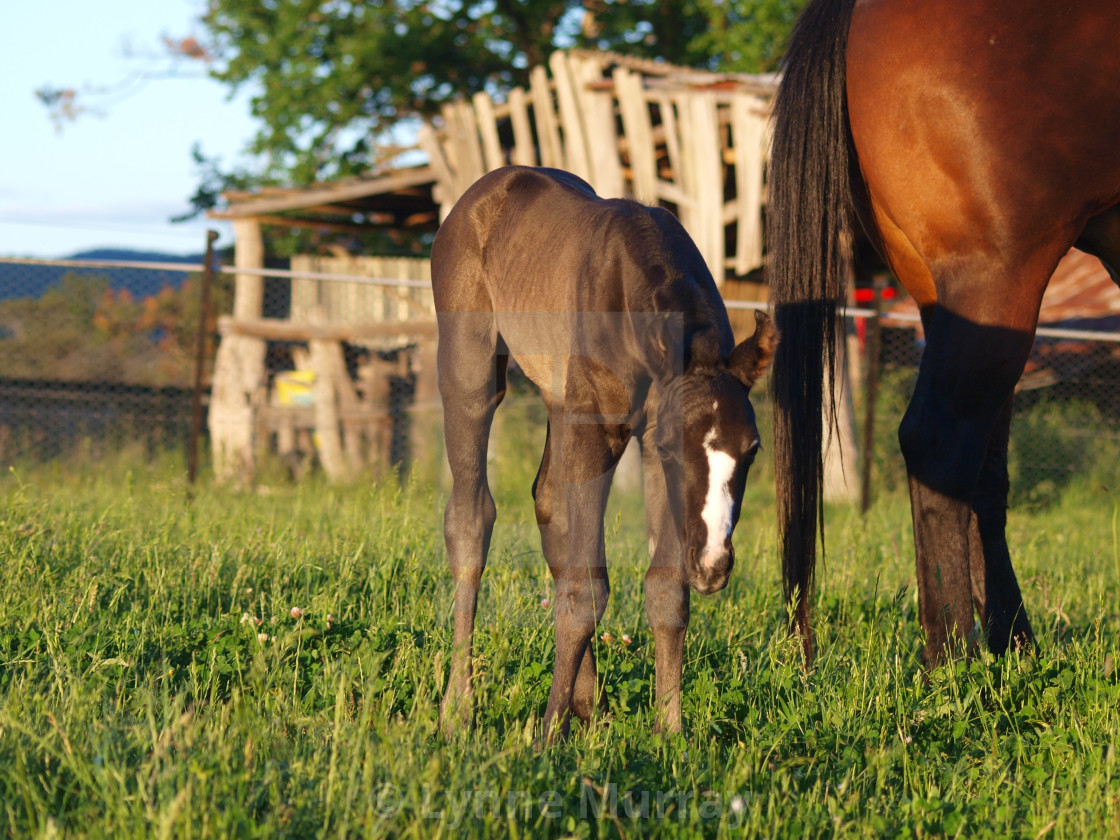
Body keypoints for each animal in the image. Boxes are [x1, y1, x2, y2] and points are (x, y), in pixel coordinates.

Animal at [432, 168, 775, 739]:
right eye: (675, 447)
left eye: (752, 450)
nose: (713, 565)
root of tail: (485, 190)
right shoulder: (608, 434)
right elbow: (586, 588)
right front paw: (548, 733)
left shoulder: (644, 440)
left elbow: (665, 589)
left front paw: (670, 733)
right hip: (471, 369)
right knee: (471, 518)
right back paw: (458, 707)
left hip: (558, 396)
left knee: (550, 508)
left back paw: (589, 702)